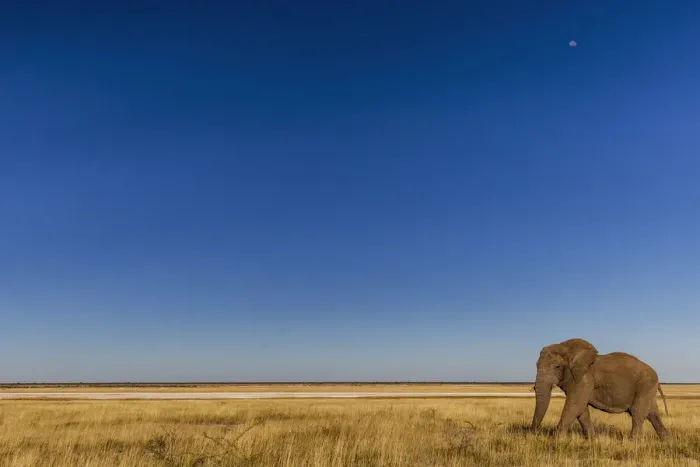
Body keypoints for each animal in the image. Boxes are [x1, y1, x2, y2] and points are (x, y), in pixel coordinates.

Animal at [530, 338, 669, 440]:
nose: (533, 433)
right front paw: (592, 439)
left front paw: (555, 439)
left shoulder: (585, 378)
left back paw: (633, 442)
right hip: (648, 388)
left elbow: (576, 405)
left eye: (557, 367)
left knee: (637, 413)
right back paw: (666, 440)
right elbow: (581, 409)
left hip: (645, 386)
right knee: (652, 413)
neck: (567, 348)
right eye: (536, 365)